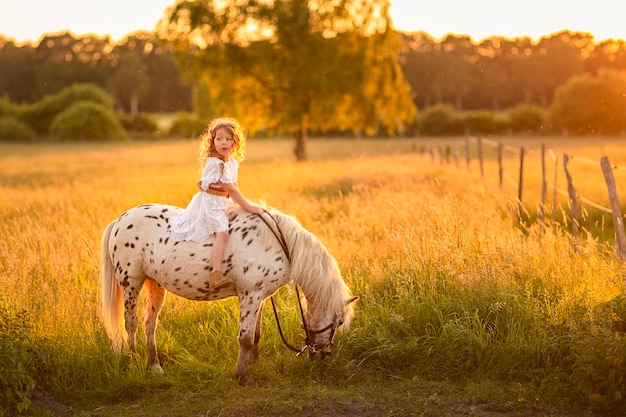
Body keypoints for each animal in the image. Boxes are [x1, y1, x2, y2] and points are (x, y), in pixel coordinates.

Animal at [100, 203, 358, 386]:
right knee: (131, 324)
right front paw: (244, 376)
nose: (322, 356)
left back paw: (155, 367)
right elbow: (245, 338)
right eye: (339, 322)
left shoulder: (258, 297)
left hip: (155, 285)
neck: (279, 244)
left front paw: (252, 363)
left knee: (149, 323)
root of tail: (120, 220)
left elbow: (255, 334)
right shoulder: (250, 295)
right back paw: (134, 362)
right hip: (131, 283)